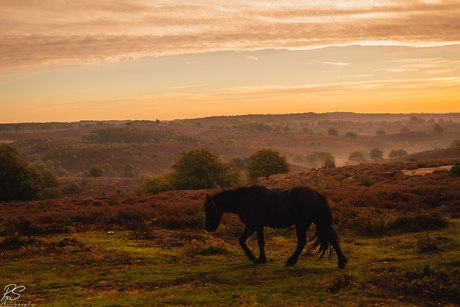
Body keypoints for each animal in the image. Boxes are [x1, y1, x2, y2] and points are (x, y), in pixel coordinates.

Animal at [203, 185, 346, 270]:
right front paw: (261, 259)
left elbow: (242, 240)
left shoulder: (251, 225)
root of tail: (316, 194)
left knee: (302, 242)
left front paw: (252, 257)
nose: (208, 228)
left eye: (207, 210)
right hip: (319, 222)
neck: (244, 199)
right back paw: (342, 262)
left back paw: (291, 261)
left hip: (302, 224)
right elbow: (261, 242)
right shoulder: (259, 226)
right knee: (332, 239)